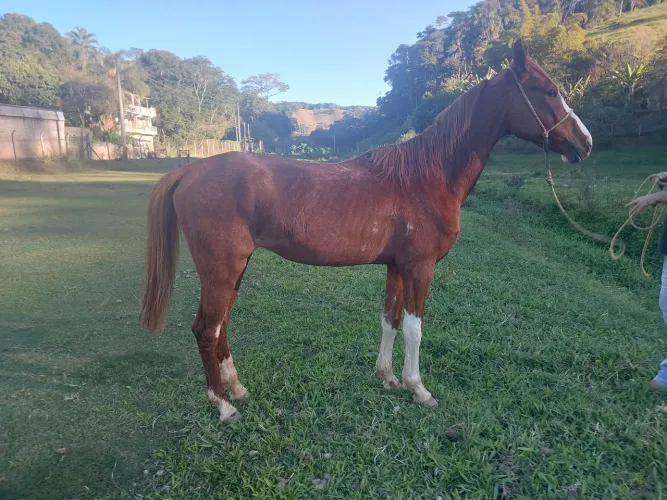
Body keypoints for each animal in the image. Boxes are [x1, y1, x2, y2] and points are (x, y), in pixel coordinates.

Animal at [140, 39, 592, 423]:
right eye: (549, 92)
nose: (585, 143)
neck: (426, 177)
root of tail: (188, 171)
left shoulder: (396, 267)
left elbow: (389, 320)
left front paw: (388, 377)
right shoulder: (420, 268)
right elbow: (414, 328)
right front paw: (419, 389)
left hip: (234, 271)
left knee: (222, 327)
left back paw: (236, 389)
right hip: (221, 271)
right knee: (206, 329)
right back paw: (222, 405)